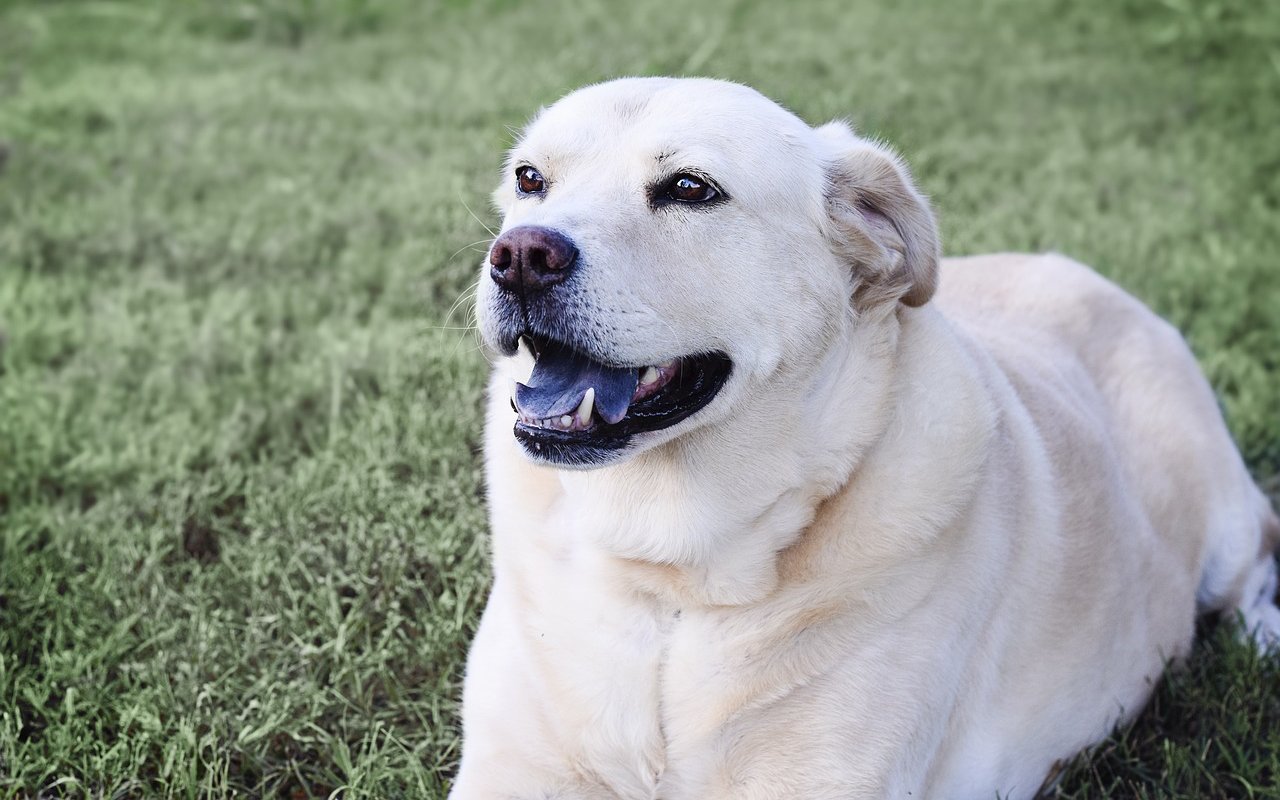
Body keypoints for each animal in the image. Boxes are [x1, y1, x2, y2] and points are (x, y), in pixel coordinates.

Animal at [453, 76, 1280, 798]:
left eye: (690, 189)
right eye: (530, 179)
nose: (520, 255)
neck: (670, 581)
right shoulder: (509, 767)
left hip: (1222, 515)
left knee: (1251, 574)